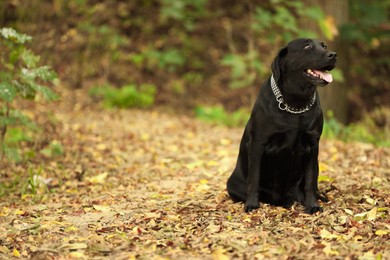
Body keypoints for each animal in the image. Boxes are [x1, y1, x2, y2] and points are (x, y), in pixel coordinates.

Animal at [227, 38, 336, 213]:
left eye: (324, 46)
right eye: (307, 46)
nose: (333, 54)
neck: (296, 104)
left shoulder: (313, 145)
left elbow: (310, 180)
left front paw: (312, 205)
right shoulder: (258, 144)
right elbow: (254, 178)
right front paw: (252, 204)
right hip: (233, 184)